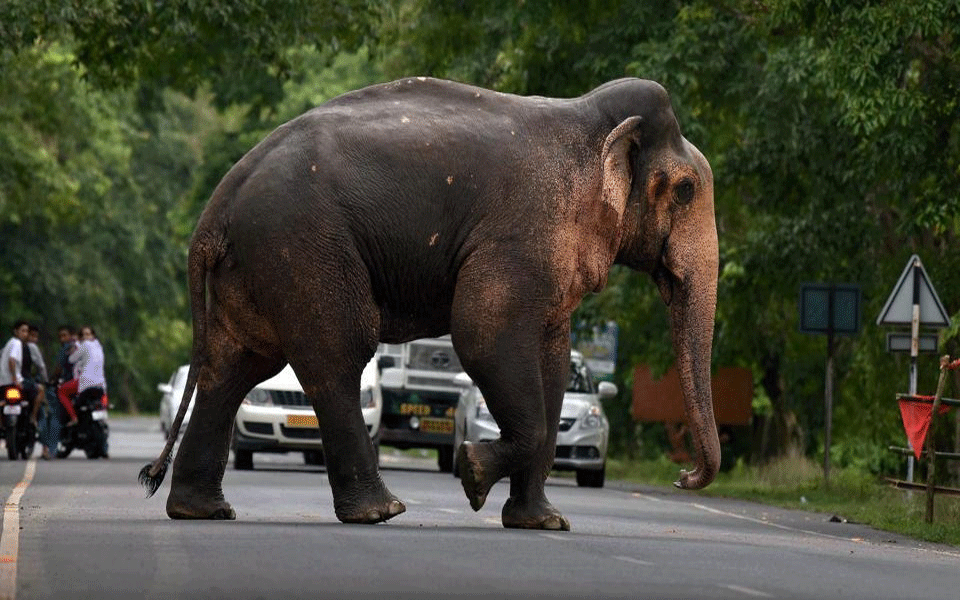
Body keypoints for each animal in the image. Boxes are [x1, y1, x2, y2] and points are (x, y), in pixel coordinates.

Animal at [139, 75, 716, 528]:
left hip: (256, 262)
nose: (682, 475)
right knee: (337, 354)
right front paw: (473, 472)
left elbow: (551, 365)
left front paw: (543, 523)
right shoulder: (519, 236)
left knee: (235, 366)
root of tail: (218, 203)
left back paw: (202, 511)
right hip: (300, 246)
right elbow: (482, 336)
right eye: (686, 190)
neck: (587, 120)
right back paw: (381, 511)